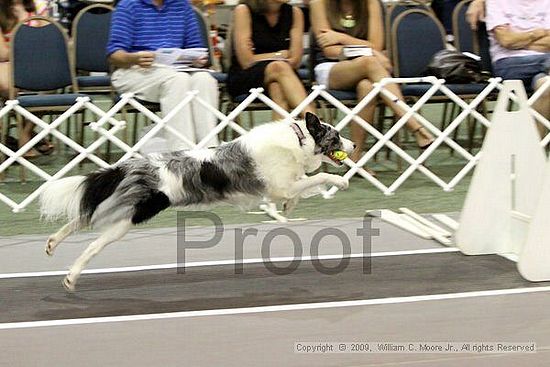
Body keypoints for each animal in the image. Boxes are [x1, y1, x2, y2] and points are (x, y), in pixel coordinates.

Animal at [41, 113, 356, 292]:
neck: (299, 140)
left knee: (82, 216)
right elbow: (319, 177)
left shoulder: (285, 185)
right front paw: (340, 182)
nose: (354, 146)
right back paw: (71, 276)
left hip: (121, 208)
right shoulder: (282, 184)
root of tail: (133, 165)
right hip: (131, 216)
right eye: (336, 136)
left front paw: (289, 209)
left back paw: (53, 243)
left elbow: (304, 188)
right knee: (93, 242)